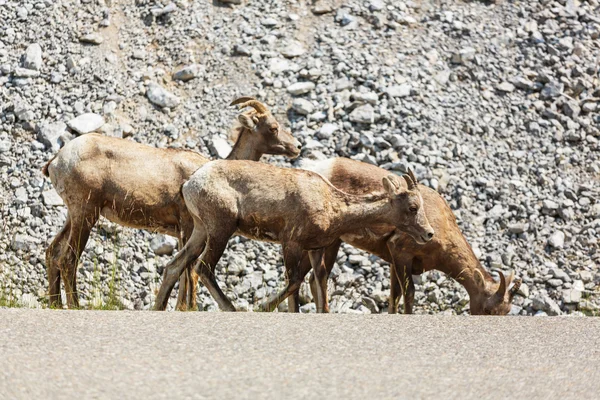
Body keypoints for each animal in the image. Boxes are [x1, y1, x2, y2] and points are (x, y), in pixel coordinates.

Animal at [44, 97, 302, 310]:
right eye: (273, 127)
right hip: (86, 214)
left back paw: (56, 304)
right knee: (68, 260)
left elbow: (181, 272)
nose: (298, 147)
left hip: (73, 216)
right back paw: (76, 306)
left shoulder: (182, 233)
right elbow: (190, 273)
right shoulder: (189, 226)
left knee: (52, 253)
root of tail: (57, 160)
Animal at [149, 159, 432, 312]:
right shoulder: (291, 242)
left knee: (175, 265)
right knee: (204, 267)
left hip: (200, 230)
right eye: (412, 207)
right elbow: (295, 281)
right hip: (221, 228)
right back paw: (231, 308)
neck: (333, 206)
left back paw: (158, 307)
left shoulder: (315, 248)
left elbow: (318, 281)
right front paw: (263, 307)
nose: (428, 234)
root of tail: (190, 184)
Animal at [262, 159, 520, 316]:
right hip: (327, 243)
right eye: (487, 310)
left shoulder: (396, 263)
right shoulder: (401, 254)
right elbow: (408, 294)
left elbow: (394, 296)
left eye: (506, 311)